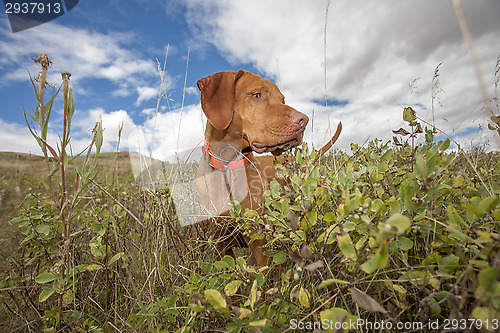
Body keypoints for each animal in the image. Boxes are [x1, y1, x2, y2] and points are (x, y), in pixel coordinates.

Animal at [193, 70, 342, 264]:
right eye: (256, 95)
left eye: (282, 100)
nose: (304, 120)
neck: (227, 168)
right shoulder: (220, 244)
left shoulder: (258, 243)